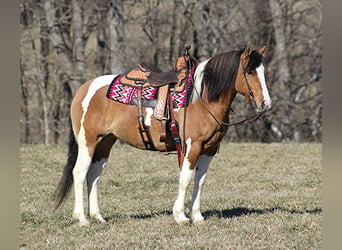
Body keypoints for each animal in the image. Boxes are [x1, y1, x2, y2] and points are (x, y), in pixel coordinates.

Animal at [53, 45, 272, 227]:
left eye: (264, 72)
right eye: (250, 72)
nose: (265, 104)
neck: (201, 99)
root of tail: (83, 88)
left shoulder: (209, 150)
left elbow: (200, 180)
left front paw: (197, 216)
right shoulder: (192, 147)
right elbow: (186, 178)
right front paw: (181, 216)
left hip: (104, 143)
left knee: (94, 175)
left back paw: (98, 216)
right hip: (88, 142)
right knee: (79, 173)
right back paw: (82, 219)